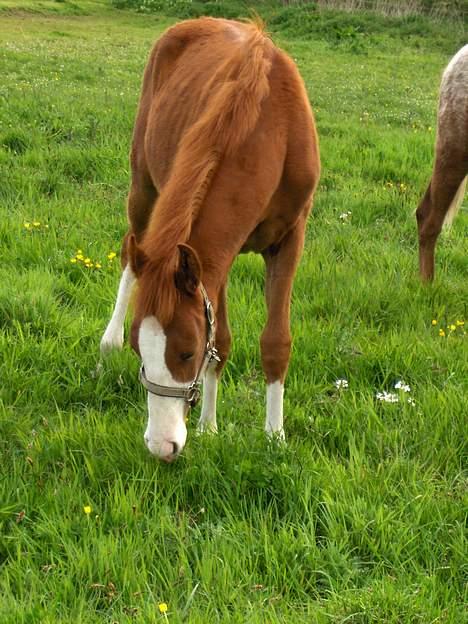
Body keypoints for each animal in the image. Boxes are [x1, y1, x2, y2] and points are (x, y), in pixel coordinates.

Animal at [100, 17, 320, 460]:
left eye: (186, 352)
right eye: (139, 350)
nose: (161, 445)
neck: (270, 131)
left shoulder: (289, 238)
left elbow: (274, 341)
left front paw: (274, 436)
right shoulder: (215, 255)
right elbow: (221, 339)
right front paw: (209, 427)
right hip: (143, 185)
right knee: (132, 248)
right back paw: (108, 337)